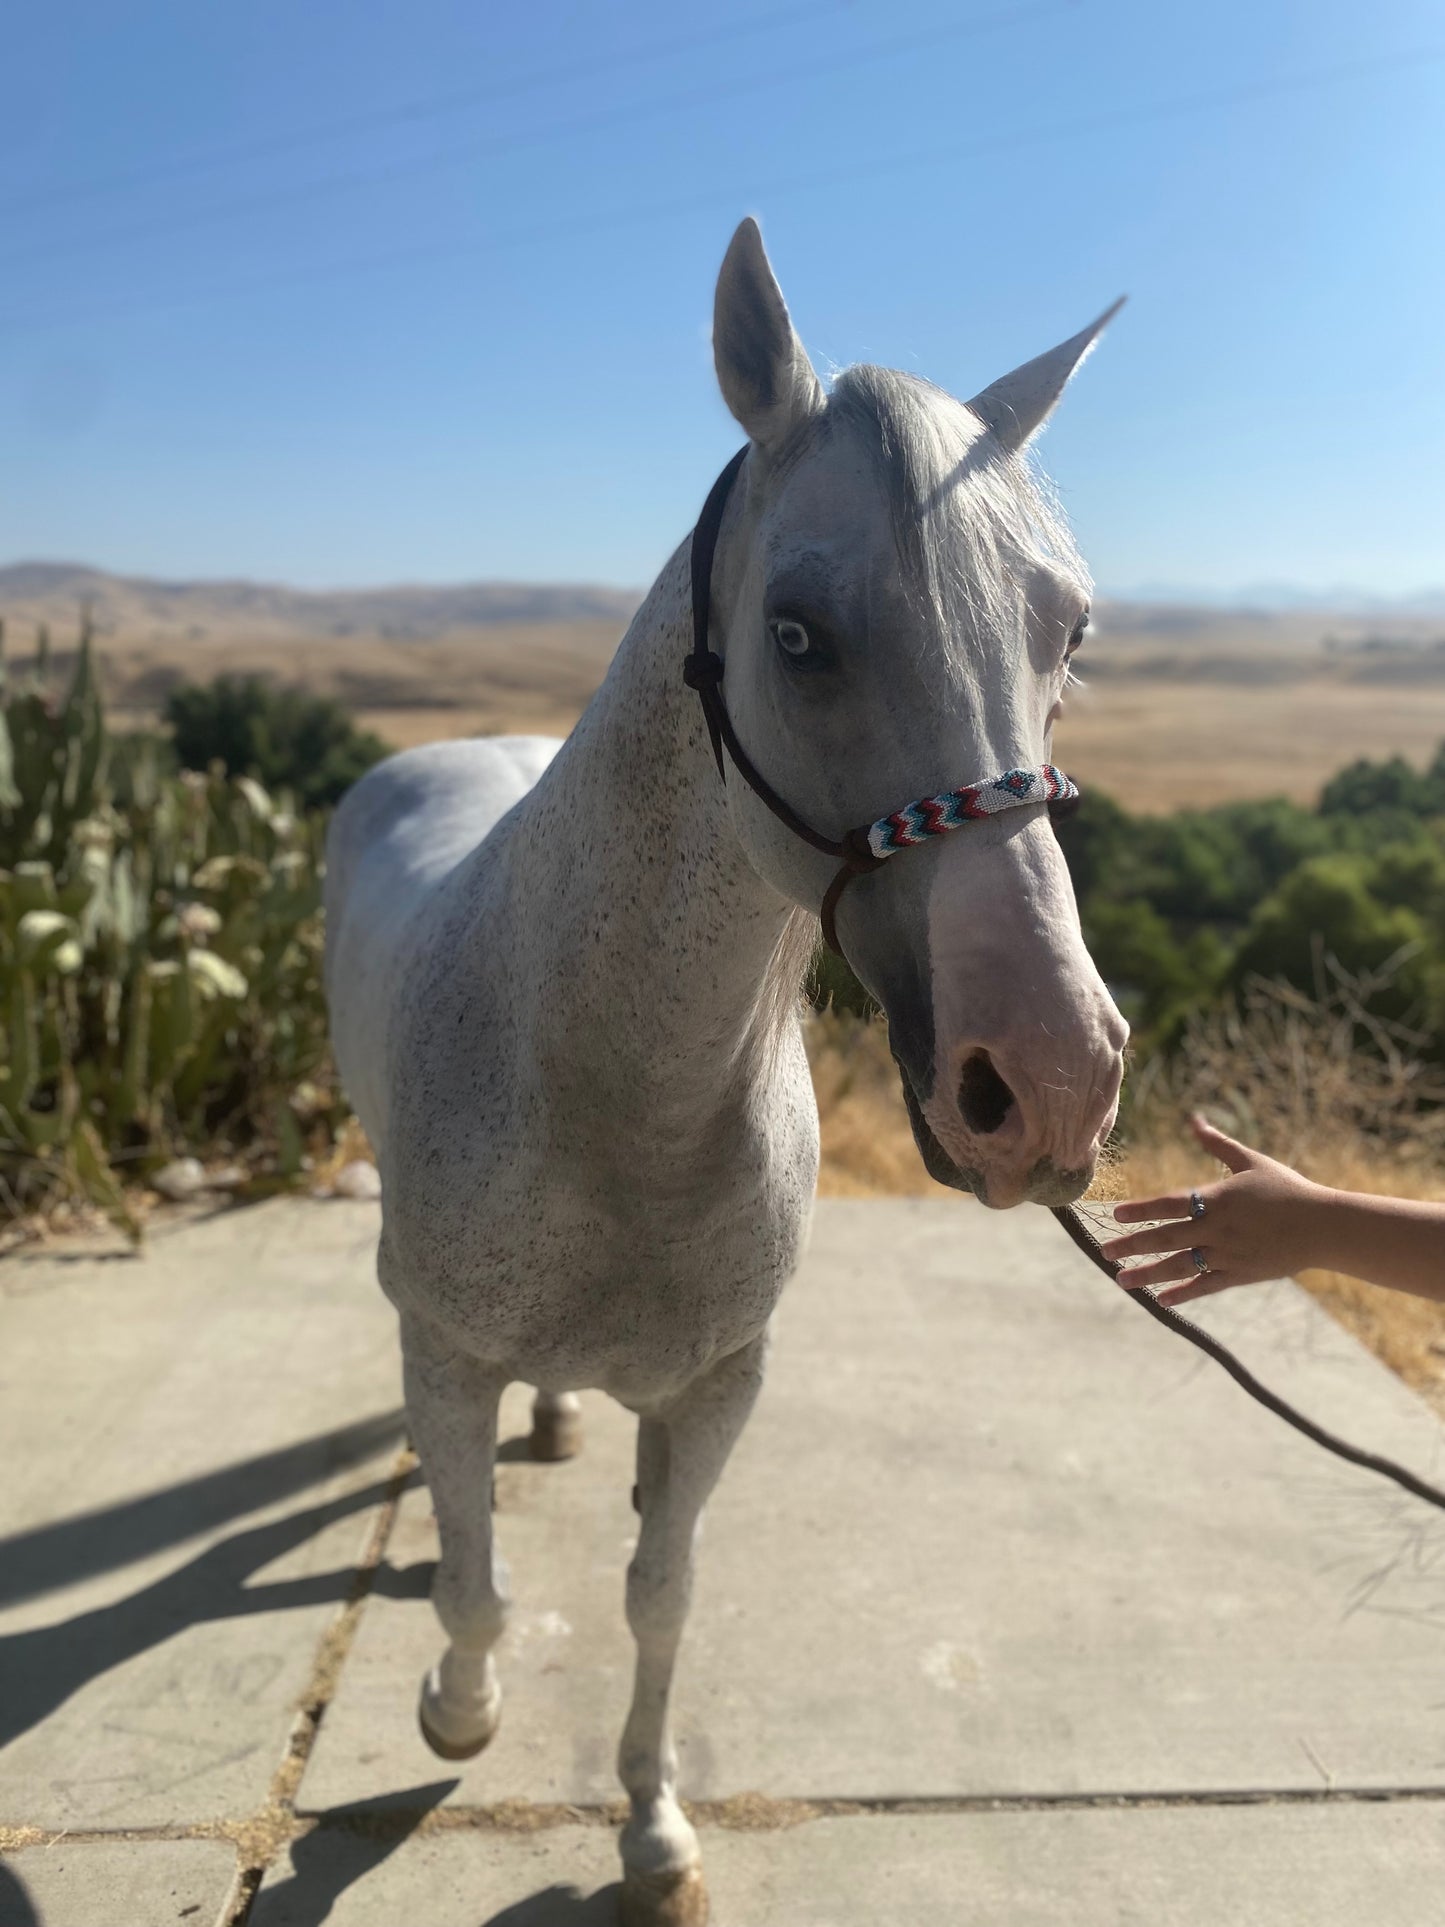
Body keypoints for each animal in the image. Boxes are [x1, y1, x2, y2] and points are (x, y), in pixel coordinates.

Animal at [327, 218, 1132, 1919]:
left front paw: (651, 1825)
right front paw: (455, 1710)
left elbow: (660, 1596)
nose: (1048, 1080)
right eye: (798, 633)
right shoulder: (443, 1351)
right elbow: (475, 1582)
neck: (612, 1100)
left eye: (1071, 632)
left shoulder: (716, 1386)